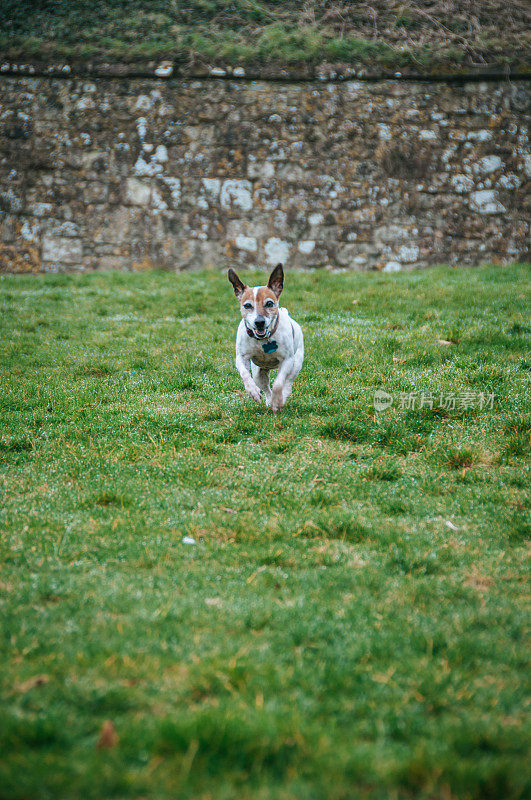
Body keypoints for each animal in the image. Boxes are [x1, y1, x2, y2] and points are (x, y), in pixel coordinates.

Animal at [228, 262, 304, 412]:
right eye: (247, 305)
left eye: (269, 303)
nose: (259, 322)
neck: (262, 340)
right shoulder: (241, 357)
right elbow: (245, 374)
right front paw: (252, 391)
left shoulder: (287, 360)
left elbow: (278, 383)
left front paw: (277, 400)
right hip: (259, 372)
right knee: (265, 387)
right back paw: (269, 401)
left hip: (296, 363)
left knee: (287, 383)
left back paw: (280, 399)